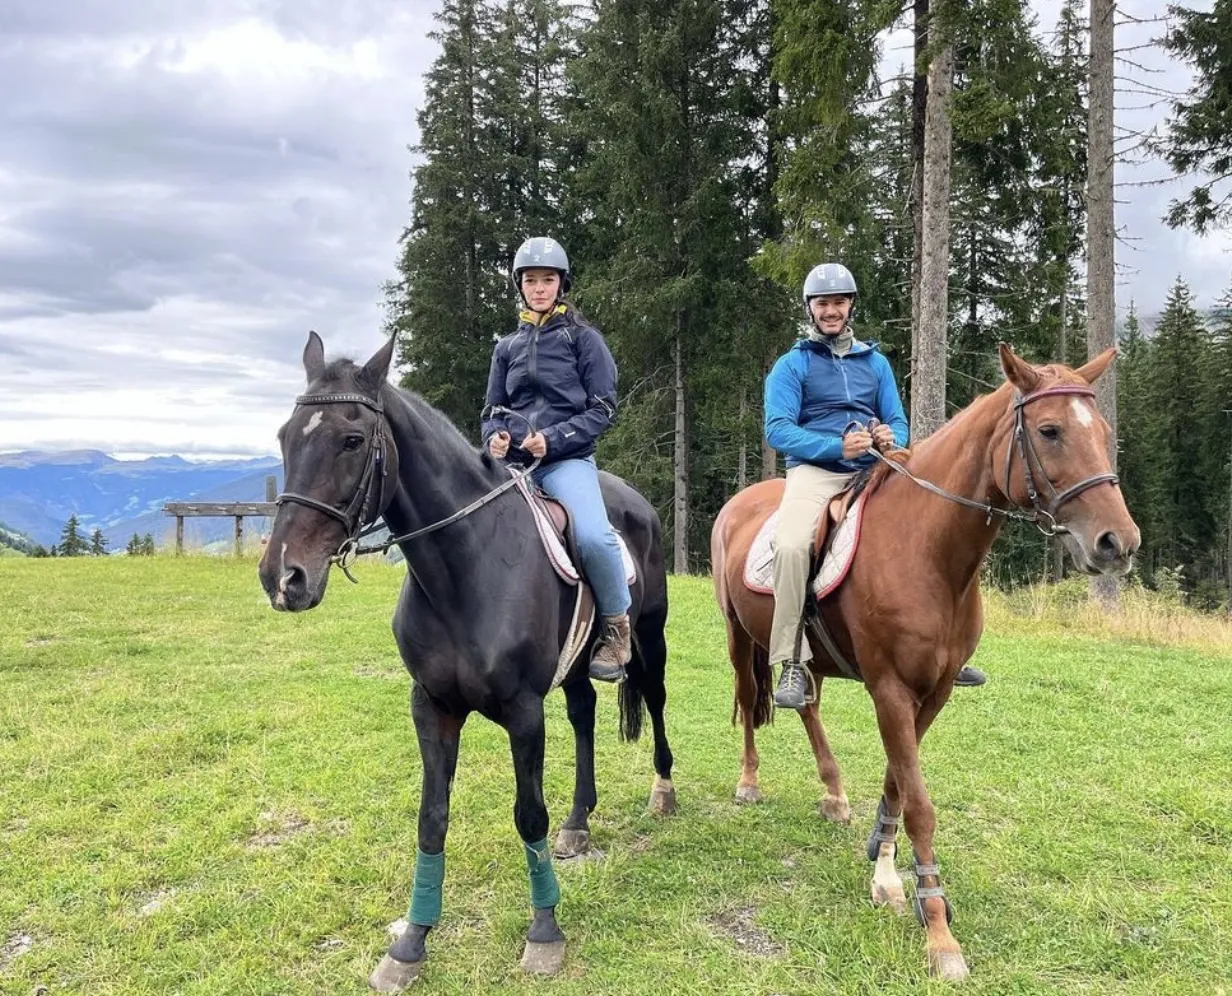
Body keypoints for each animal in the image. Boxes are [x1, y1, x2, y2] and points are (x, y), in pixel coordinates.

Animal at [258, 332, 676, 991]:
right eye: (284, 436)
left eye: (352, 440)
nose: (283, 577)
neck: (465, 565)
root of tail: (637, 501)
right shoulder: (432, 707)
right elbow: (431, 818)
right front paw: (411, 943)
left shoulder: (524, 712)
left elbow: (528, 816)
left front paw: (544, 933)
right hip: (575, 665)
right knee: (583, 713)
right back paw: (580, 821)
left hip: (650, 638)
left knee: (654, 700)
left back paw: (662, 792)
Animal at [710, 344, 1139, 981]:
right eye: (1050, 430)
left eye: (1104, 432)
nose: (1119, 543)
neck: (928, 552)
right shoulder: (889, 689)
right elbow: (920, 804)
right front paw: (937, 930)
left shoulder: (933, 693)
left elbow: (897, 784)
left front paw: (885, 871)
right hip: (741, 639)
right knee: (748, 700)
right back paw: (749, 781)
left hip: (807, 658)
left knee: (806, 704)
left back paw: (834, 794)